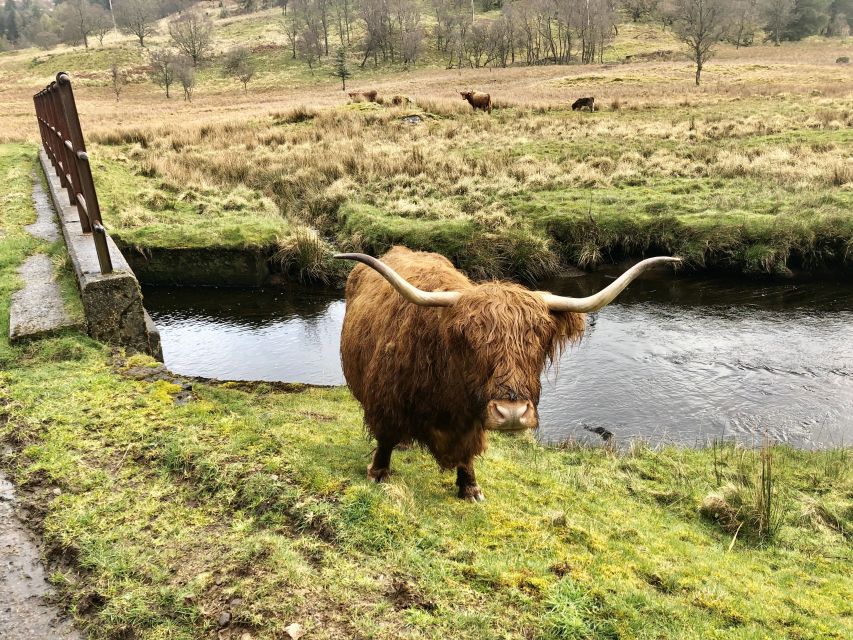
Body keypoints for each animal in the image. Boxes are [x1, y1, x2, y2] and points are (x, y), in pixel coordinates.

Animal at [336, 245, 676, 500]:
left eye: (540, 338)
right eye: (469, 338)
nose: (512, 413)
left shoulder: (471, 421)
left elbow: (468, 454)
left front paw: (470, 488)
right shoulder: (385, 403)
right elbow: (385, 439)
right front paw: (378, 474)